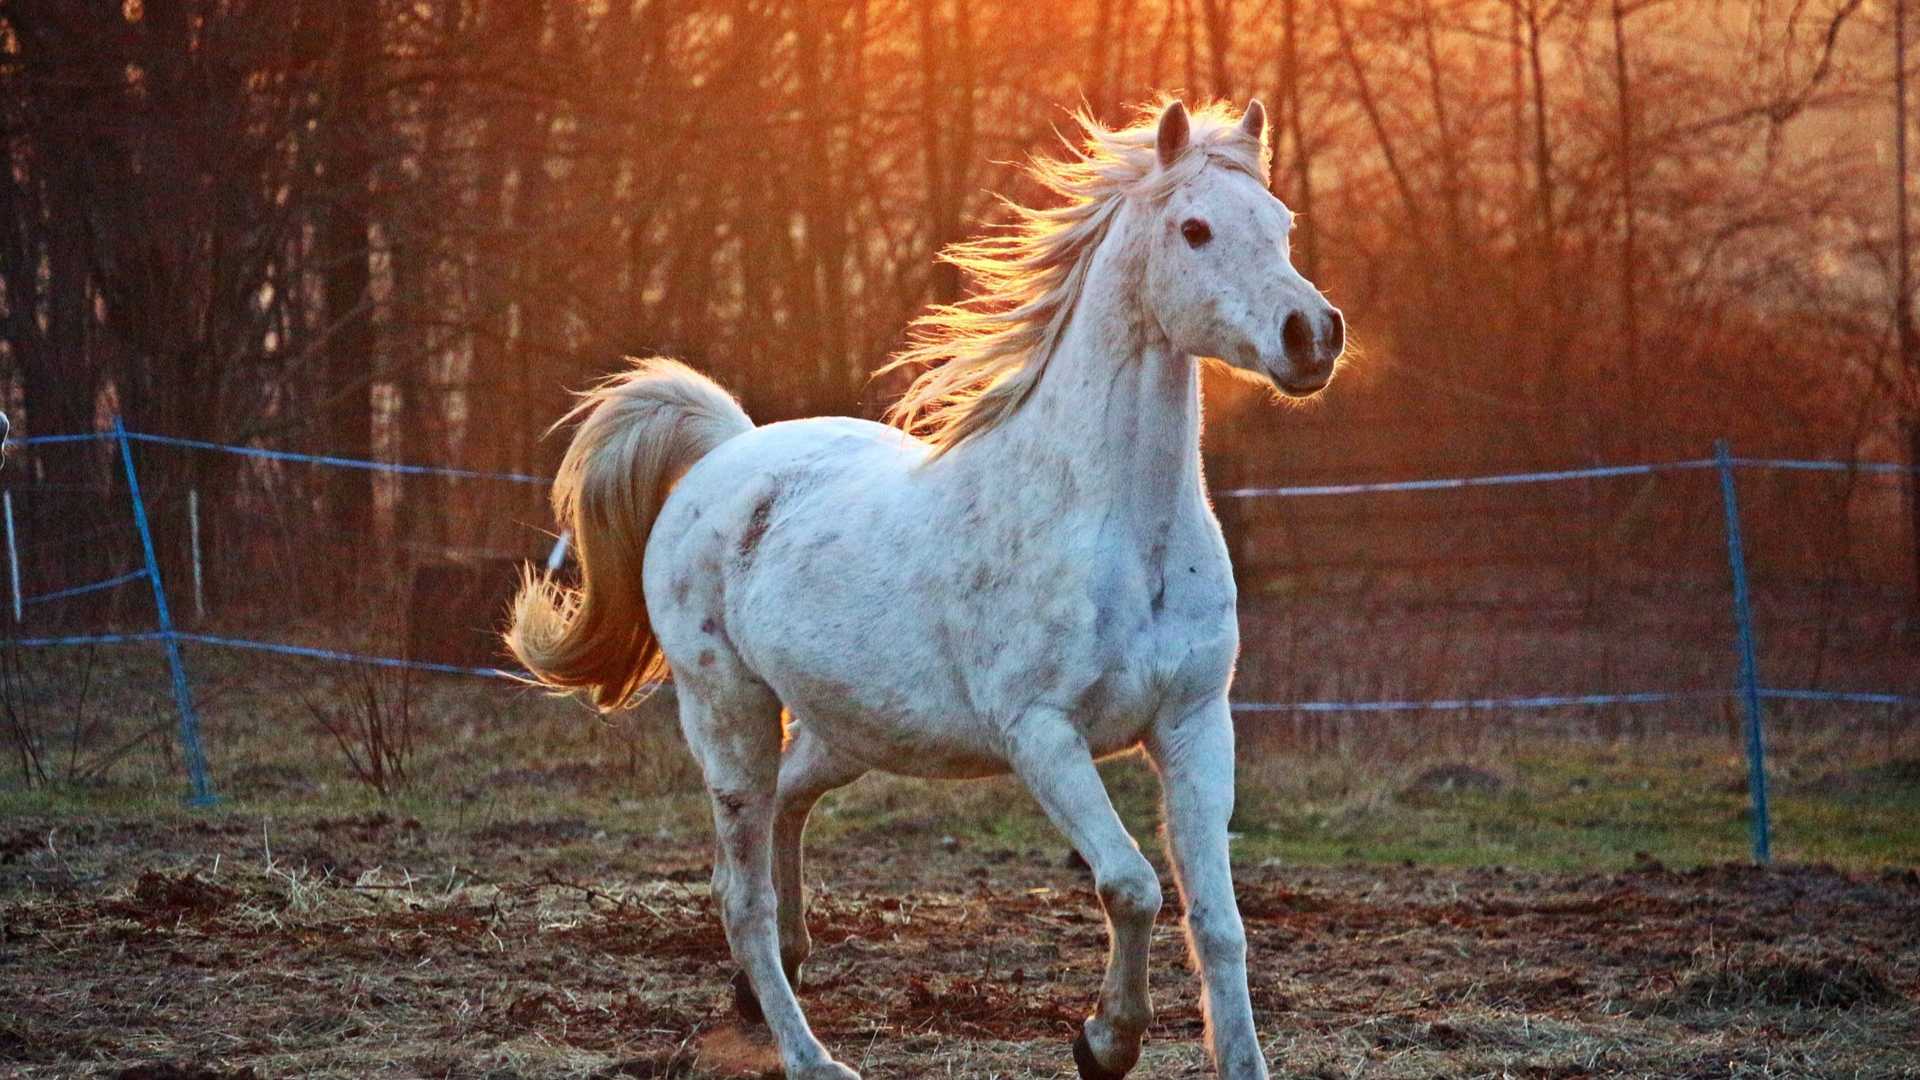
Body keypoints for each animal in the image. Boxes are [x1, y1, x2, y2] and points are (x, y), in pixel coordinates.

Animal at [514, 96, 1351, 1068]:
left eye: (1282, 223)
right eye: (1195, 229)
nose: (1312, 336)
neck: (1109, 525)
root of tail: (727, 452)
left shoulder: (1194, 722)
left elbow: (1218, 921)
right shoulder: (1042, 734)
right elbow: (1131, 884)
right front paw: (1104, 1041)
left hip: (849, 726)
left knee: (786, 813)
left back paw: (772, 986)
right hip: (728, 714)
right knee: (740, 894)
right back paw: (811, 1056)